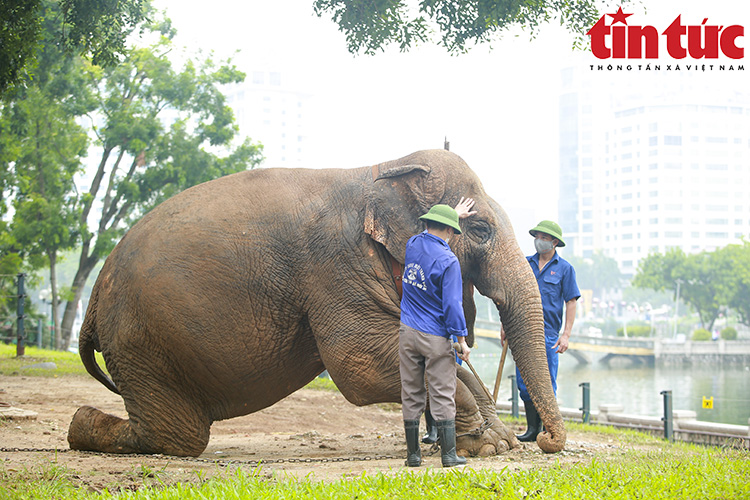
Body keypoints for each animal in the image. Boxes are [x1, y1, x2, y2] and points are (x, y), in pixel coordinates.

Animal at [67, 147, 568, 458]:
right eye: (480, 230)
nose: (545, 442)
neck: (382, 167)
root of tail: (92, 302)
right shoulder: (334, 262)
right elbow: (358, 363)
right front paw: (487, 444)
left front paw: (499, 442)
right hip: (143, 340)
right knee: (179, 437)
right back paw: (79, 424)